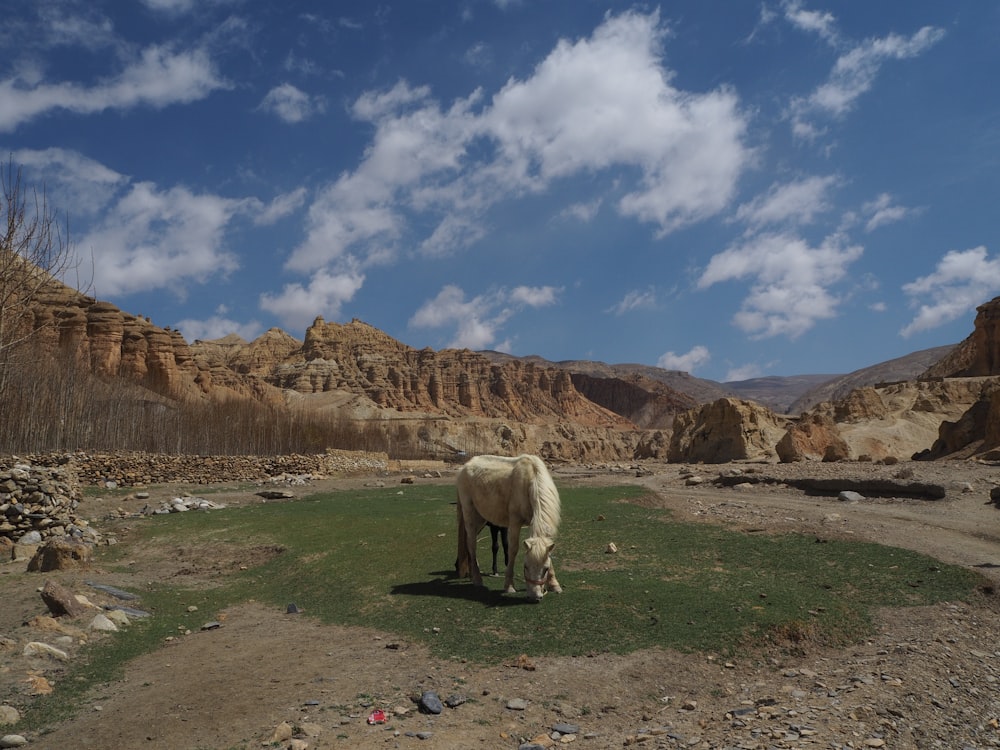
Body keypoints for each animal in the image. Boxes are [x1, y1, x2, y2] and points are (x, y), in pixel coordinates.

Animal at [456, 456, 564, 604]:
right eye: (525, 566)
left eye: (545, 569)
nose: (535, 597)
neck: (531, 483)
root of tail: (465, 466)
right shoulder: (514, 522)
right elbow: (512, 550)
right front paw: (509, 586)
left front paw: (554, 585)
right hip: (469, 515)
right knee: (471, 544)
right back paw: (477, 579)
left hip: (481, 519)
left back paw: (471, 574)